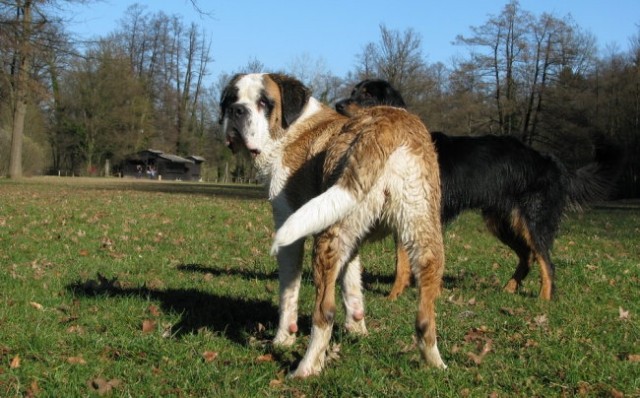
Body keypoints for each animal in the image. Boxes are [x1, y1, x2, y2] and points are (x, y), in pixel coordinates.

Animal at [220, 74, 444, 376]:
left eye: (264, 102)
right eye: (232, 99)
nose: (236, 111)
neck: (291, 129)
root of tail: (386, 125)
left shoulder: (289, 229)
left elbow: (288, 292)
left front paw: (283, 339)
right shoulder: (351, 236)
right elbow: (351, 282)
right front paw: (357, 329)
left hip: (324, 239)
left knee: (324, 312)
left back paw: (305, 369)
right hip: (421, 234)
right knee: (425, 317)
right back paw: (437, 364)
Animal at [336, 79, 620, 300]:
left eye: (368, 94)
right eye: (354, 91)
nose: (338, 104)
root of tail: (552, 162)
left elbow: (410, 261)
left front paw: (410, 294)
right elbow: (403, 262)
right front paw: (402, 292)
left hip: (533, 220)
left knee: (546, 262)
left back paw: (545, 299)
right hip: (502, 222)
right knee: (527, 256)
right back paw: (509, 289)